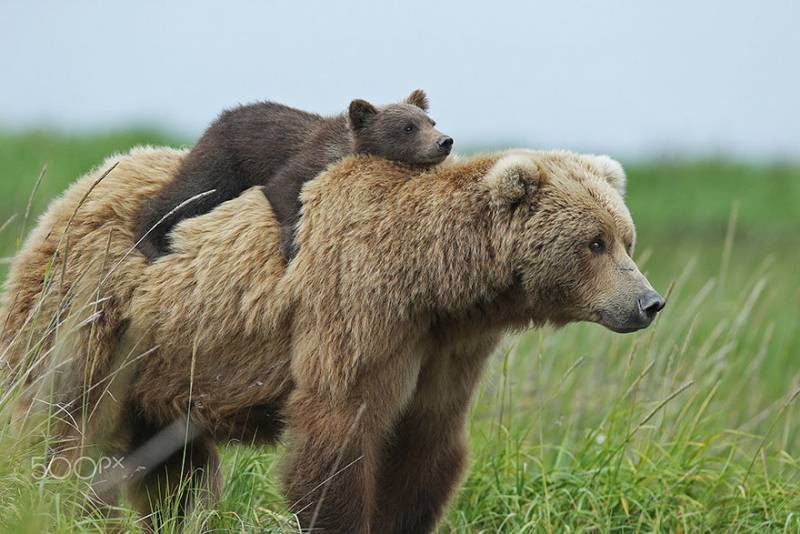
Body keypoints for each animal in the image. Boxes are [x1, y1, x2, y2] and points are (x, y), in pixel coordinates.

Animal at [0, 148, 664, 534]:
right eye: (595, 242)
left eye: (626, 237)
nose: (648, 302)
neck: (435, 282)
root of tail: (74, 189)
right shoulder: (358, 309)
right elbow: (339, 433)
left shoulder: (445, 349)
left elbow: (425, 445)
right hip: (90, 311)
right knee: (62, 425)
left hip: (163, 364)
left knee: (172, 465)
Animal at [134, 89, 454, 262]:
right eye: (408, 127)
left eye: (431, 121)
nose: (445, 141)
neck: (345, 147)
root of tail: (218, 119)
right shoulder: (307, 159)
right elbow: (283, 187)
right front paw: (292, 243)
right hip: (224, 160)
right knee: (190, 192)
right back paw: (150, 242)